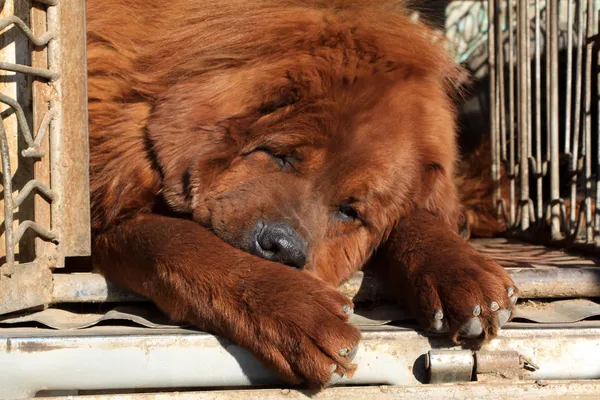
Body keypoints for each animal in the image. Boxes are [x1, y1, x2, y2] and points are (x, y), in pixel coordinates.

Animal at [86, 0, 516, 388]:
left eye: (349, 211)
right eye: (281, 155)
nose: (282, 247)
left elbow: (418, 217)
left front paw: (461, 269)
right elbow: (179, 243)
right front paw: (299, 312)